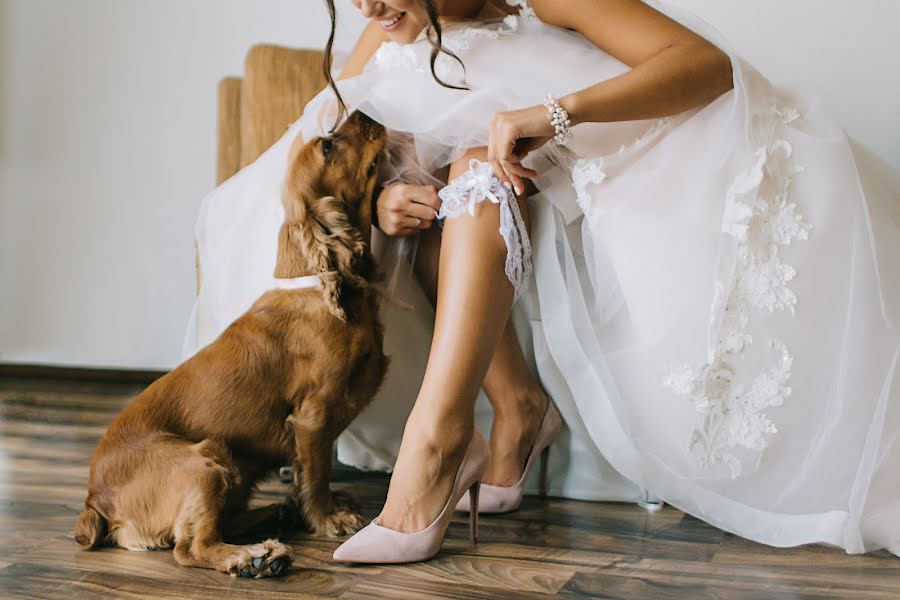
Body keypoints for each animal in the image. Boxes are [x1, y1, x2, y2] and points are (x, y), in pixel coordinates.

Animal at [73, 110, 386, 580]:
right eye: (328, 145)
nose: (367, 112)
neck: (317, 284)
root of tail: (95, 501)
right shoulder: (313, 416)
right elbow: (317, 474)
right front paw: (327, 517)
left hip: (230, 468)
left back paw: (277, 516)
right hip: (206, 460)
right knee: (191, 547)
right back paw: (257, 557)